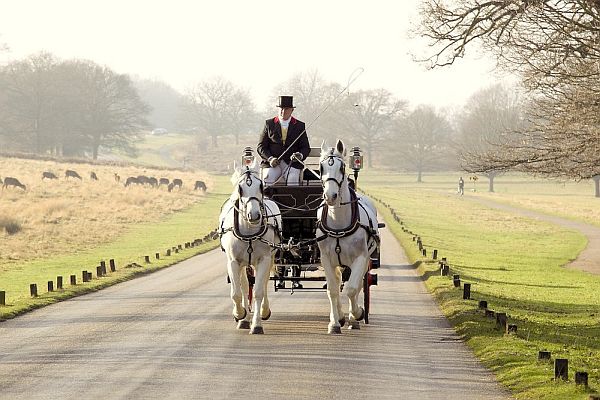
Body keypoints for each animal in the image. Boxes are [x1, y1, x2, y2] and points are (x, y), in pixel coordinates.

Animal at [219, 160, 282, 334]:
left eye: (261, 186)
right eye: (240, 188)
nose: (254, 215)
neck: (248, 229)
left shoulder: (263, 259)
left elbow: (259, 291)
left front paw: (257, 324)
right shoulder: (233, 261)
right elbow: (236, 293)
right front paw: (240, 314)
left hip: (269, 257)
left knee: (264, 282)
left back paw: (264, 311)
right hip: (242, 263)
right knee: (244, 284)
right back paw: (244, 318)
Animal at [314, 141, 380, 334]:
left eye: (342, 167)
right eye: (321, 168)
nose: (330, 196)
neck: (338, 222)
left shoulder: (361, 258)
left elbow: (352, 289)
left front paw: (356, 314)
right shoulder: (326, 259)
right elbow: (333, 290)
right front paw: (335, 323)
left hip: (364, 260)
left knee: (356, 286)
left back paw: (352, 317)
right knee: (337, 283)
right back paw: (340, 316)